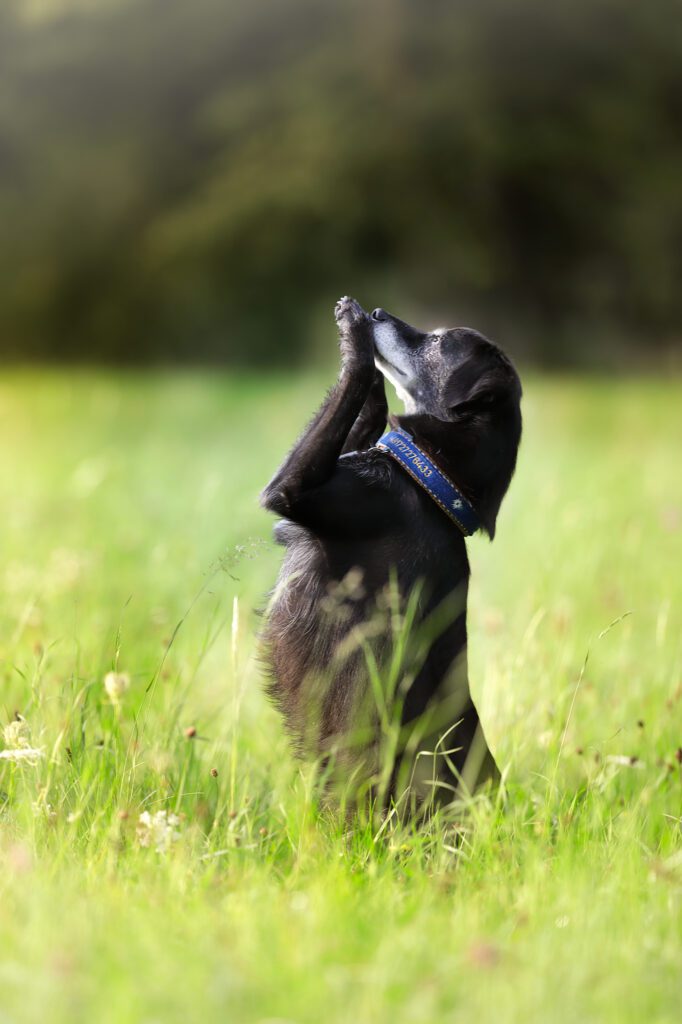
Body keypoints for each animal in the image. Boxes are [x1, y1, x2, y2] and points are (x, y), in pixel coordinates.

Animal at [260, 299, 520, 815]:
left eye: (438, 341)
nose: (377, 310)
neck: (432, 485)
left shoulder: (293, 492)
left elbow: (356, 377)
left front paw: (355, 337)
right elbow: (366, 410)